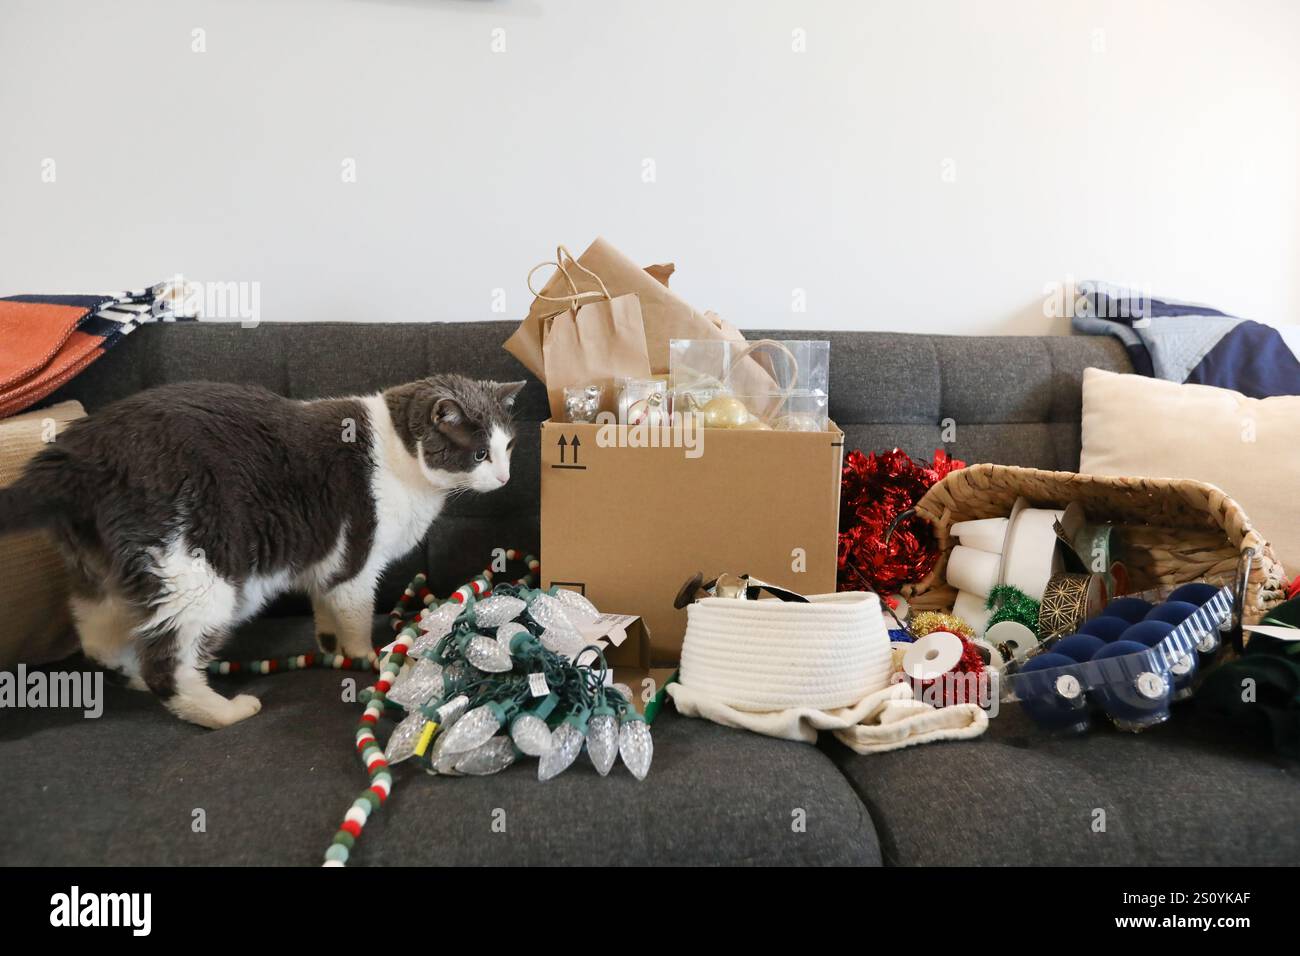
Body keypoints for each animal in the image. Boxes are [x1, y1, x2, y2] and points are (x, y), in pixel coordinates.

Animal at [2, 374, 527, 723]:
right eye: (480, 454)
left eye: (508, 449)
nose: (505, 478)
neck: (401, 454)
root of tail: (78, 453)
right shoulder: (356, 561)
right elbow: (356, 615)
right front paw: (366, 656)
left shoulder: (324, 563)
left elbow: (325, 611)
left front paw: (329, 648)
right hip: (196, 576)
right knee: (167, 661)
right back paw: (222, 711)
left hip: (106, 575)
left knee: (98, 636)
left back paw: (128, 674)